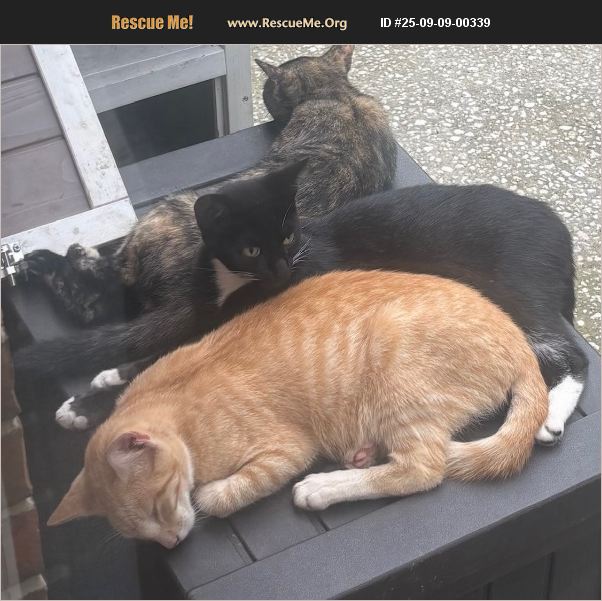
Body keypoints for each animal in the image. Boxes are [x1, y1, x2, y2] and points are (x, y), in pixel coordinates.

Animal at [38, 167, 585, 446]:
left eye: (287, 236)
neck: (231, 284)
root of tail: (560, 230)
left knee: (570, 354)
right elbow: (165, 348)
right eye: (250, 248)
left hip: (515, 291)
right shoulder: (209, 315)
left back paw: (551, 416)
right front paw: (110, 374)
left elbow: (169, 367)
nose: (284, 269)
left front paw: (86, 405)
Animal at [47, 270, 549, 547]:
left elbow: (221, 495)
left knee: (422, 469)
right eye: (138, 533)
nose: (170, 543)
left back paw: (324, 487)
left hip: (395, 360)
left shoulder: (286, 450)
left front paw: (209, 494)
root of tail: (519, 341)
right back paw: (360, 454)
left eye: (158, 506)